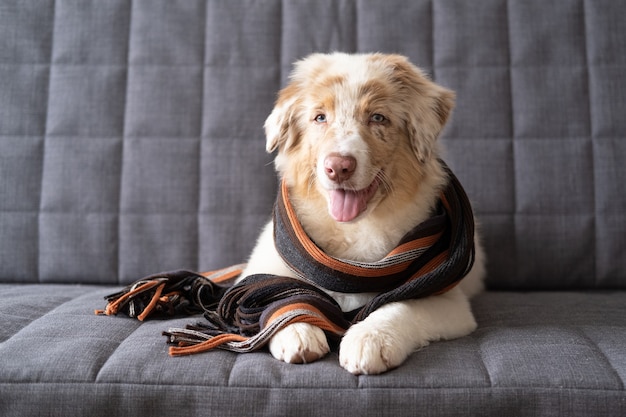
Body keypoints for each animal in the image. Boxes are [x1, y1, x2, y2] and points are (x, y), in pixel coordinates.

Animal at [239, 52, 482, 374]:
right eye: (320, 117)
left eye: (377, 117)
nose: (338, 167)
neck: (353, 234)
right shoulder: (258, 270)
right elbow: (275, 294)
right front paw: (297, 329)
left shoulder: (450, 302)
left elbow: (401, 305)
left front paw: (370, 338)